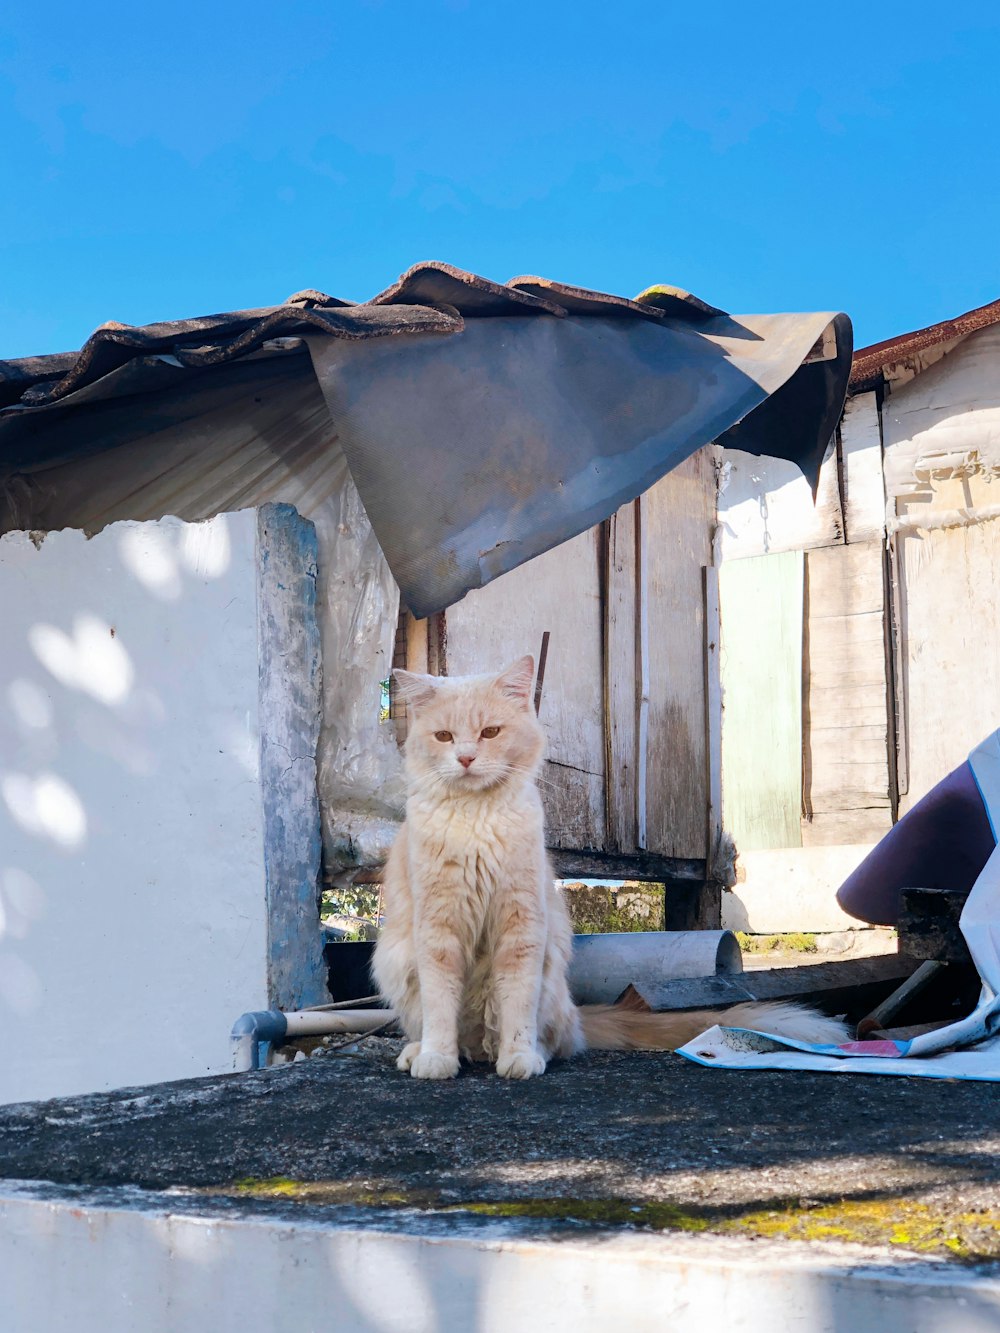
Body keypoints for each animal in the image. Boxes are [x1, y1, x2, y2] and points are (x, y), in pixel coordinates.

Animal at [370, 658, 848, 1082]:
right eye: (444, 736)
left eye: (490, 732)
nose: (467, 758)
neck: (476, 822)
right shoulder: (437, 928)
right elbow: (440, 1006)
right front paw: (437, 1058)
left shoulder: (521, 926)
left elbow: (516, 1006)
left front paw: (519, 1058)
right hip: (395, 959)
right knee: (446, 1030)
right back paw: (419, 1052)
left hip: (549, 980)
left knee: (548, 1038)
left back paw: (524, 1053)